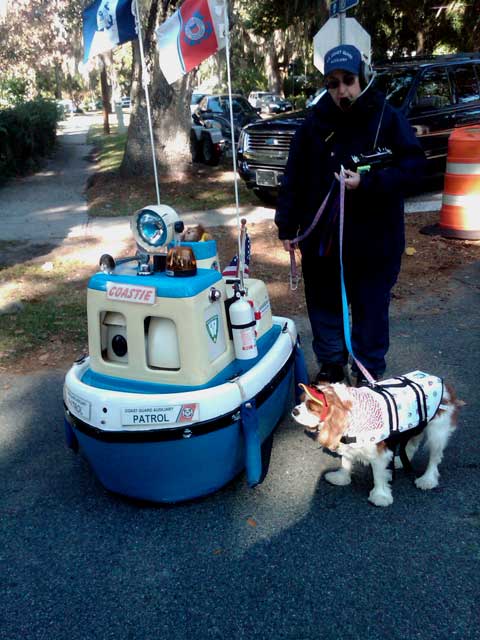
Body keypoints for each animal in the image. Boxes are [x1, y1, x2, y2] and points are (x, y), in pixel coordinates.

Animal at [290, 372, 460, 508]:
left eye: (312, 407)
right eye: (302, 401)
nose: (294, 411)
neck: (353, 413)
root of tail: (444, 384)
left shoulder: (379, 453)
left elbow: (378, 475)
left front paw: (380, 496)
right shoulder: (349, 443)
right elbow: (346, 461)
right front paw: (341, 477)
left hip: (437, 432)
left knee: (434, 458)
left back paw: (427, 479)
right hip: (415, 426)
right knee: (412, 443)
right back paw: (400, 461)